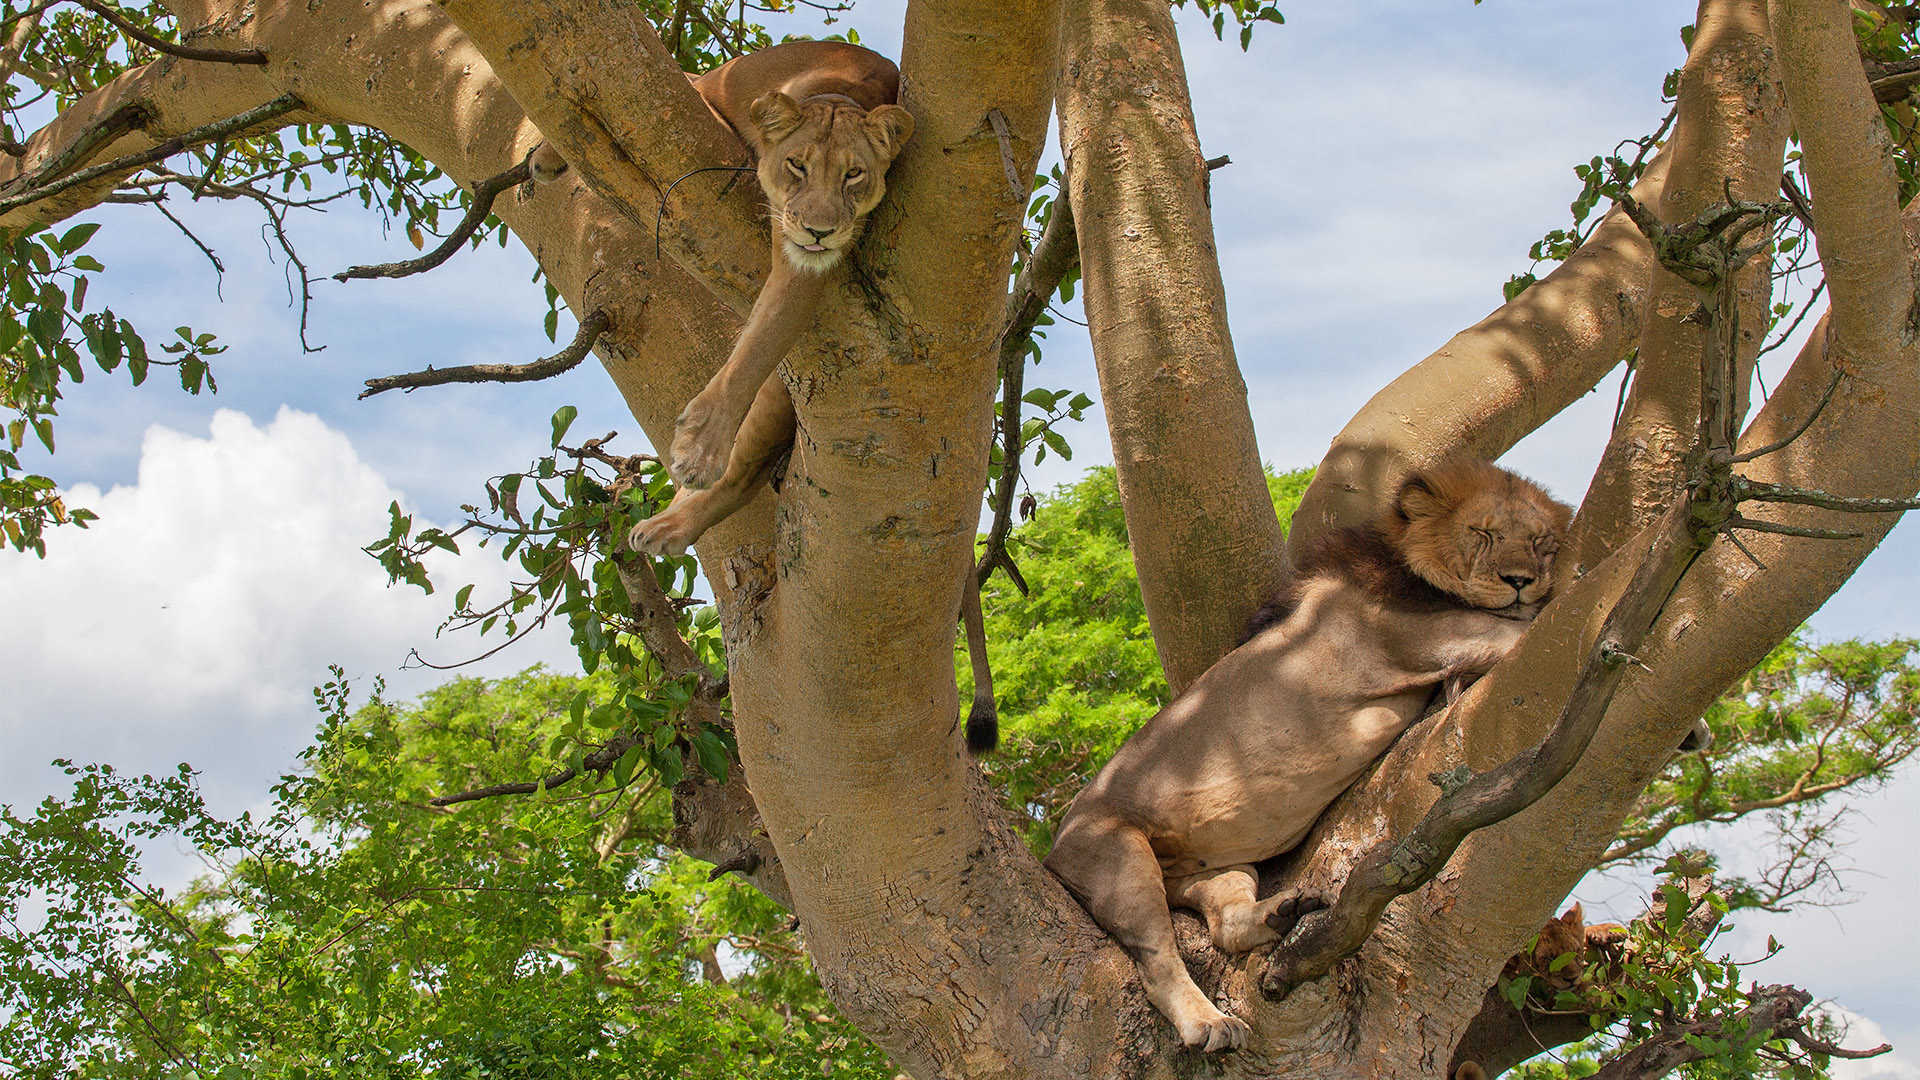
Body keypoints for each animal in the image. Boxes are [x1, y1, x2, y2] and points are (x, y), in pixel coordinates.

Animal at [618, 36, 910, 553]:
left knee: (741, 472)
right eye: (798, 165)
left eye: (853, 175)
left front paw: (699, 449)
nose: (819, 231)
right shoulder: (711, 87)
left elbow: (759, 345)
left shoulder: (806, 265)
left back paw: (668, 525)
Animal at [1044, 457, 1566, 1045]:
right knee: (1158, 960)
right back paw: (1209, 1022)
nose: (1520, 581)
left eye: (1541, 542)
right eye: (1483, 533)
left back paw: (1283, 913)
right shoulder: (1438, 639)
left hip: (1218, 868)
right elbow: (1538, 617)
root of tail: (1055, 842)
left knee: (1226, 926)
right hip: (1117, 856)